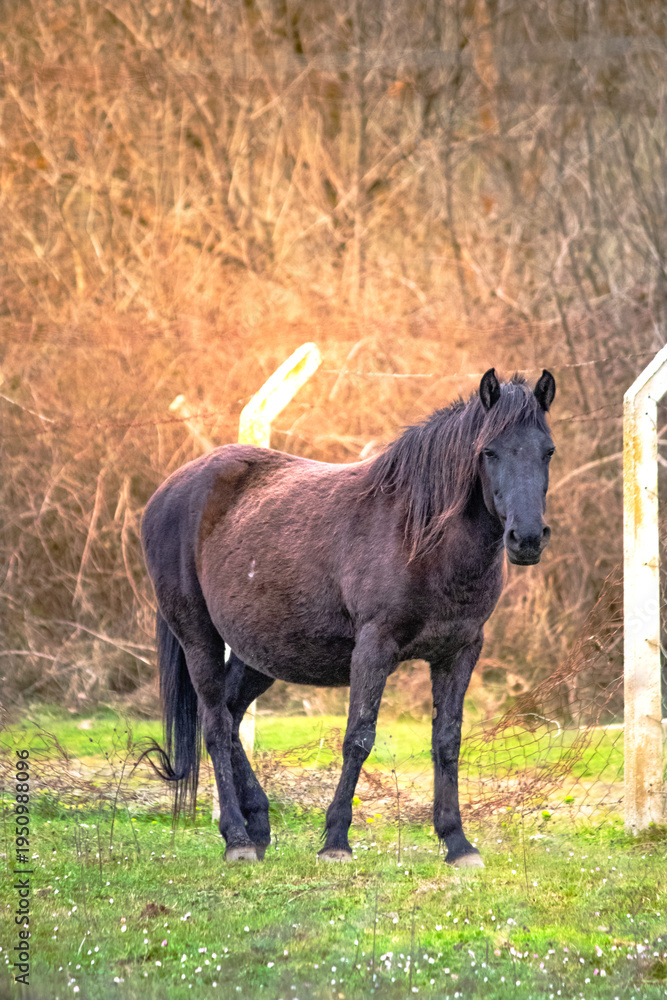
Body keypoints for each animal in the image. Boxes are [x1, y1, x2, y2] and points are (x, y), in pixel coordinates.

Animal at [139, 367, 556, 868]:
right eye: (488, 451)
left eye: (548, 451)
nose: (527, 538)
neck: (420, 536)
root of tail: (168, 490)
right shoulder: (374, 648)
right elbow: (358, 738)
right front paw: (336, 840)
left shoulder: (459, 651)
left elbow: (447, 742)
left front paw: (457, 843)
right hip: (198, 637)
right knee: (216, 726)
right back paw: (238, 838)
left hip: (257, 654)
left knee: (232, 715)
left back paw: (258, 826)